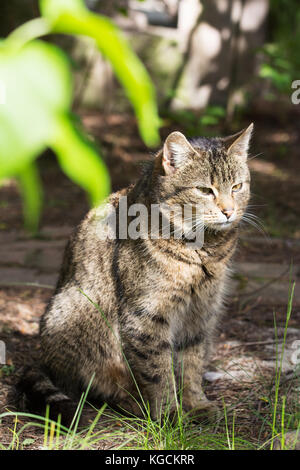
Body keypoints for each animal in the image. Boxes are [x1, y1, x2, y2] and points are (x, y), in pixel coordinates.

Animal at [17, 124, 253, 422]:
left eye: (237, 187)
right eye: (204, 190)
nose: (228, 211)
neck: (205, 250)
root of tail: (43, 362)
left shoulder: (200, 312)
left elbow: (192, 364)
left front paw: (197, 404)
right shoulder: (146, 316)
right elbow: (159, 373)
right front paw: (170, 416)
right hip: (75, 310)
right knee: (94, 385)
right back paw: (131, 403)